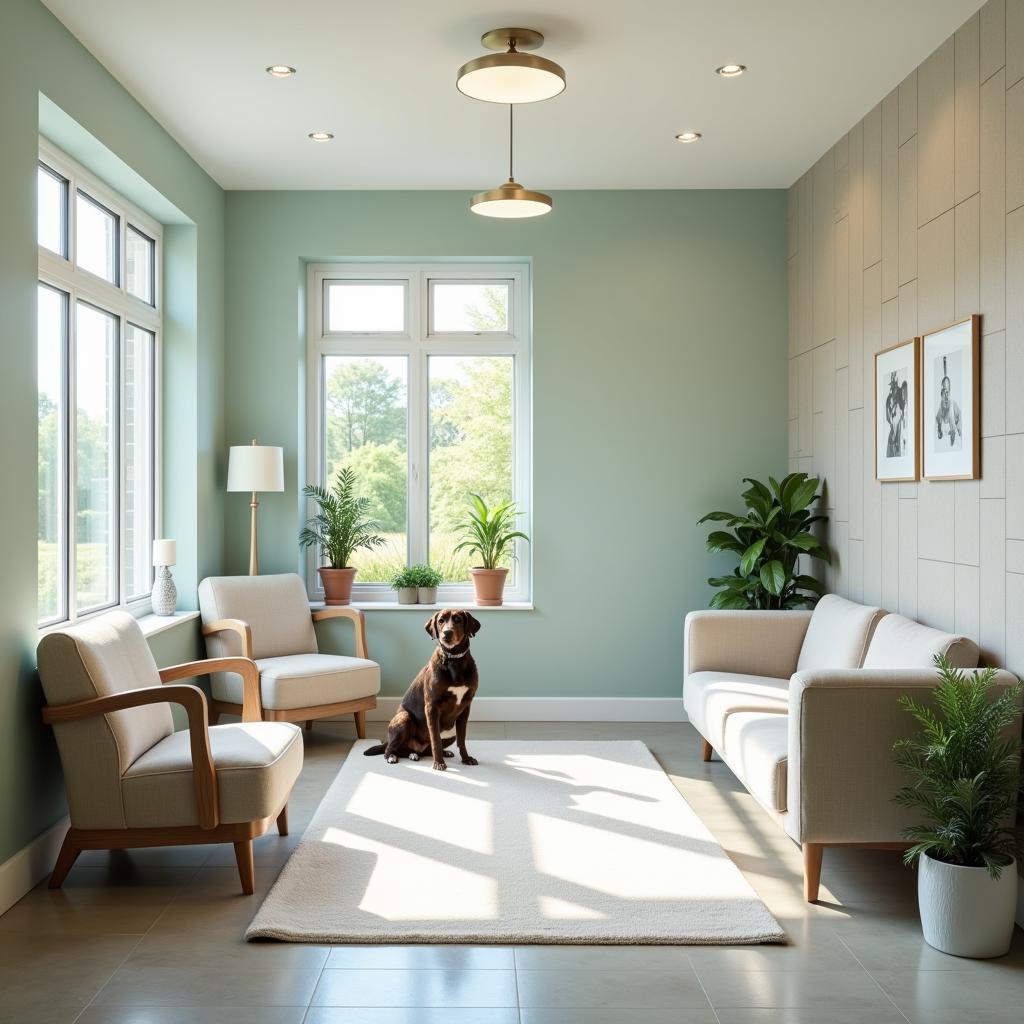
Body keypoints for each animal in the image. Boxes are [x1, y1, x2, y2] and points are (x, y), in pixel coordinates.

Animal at [366, 606, 481, 770]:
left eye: (458, 620)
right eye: (441, 621)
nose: (447, 633)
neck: (453, 660)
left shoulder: (465, 707)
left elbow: (462, 739)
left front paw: (466, 759)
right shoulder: (432, 708)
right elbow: (435, 740)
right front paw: (439, 763)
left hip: (450, 732)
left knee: (421, 751)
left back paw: (422, 754)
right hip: (403, 718)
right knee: (390, 748)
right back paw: (392, 756)